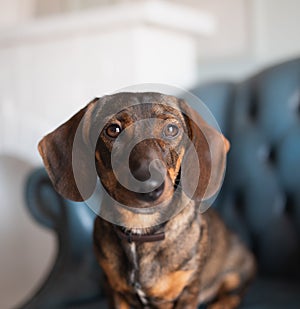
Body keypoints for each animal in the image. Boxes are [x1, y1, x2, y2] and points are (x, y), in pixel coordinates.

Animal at [38, 92, 255, 308]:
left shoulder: (187, 290)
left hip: (236, 274)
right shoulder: (116, 292)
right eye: (113, 130)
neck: (140, 229)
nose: (150, 186)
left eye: (171, 129)